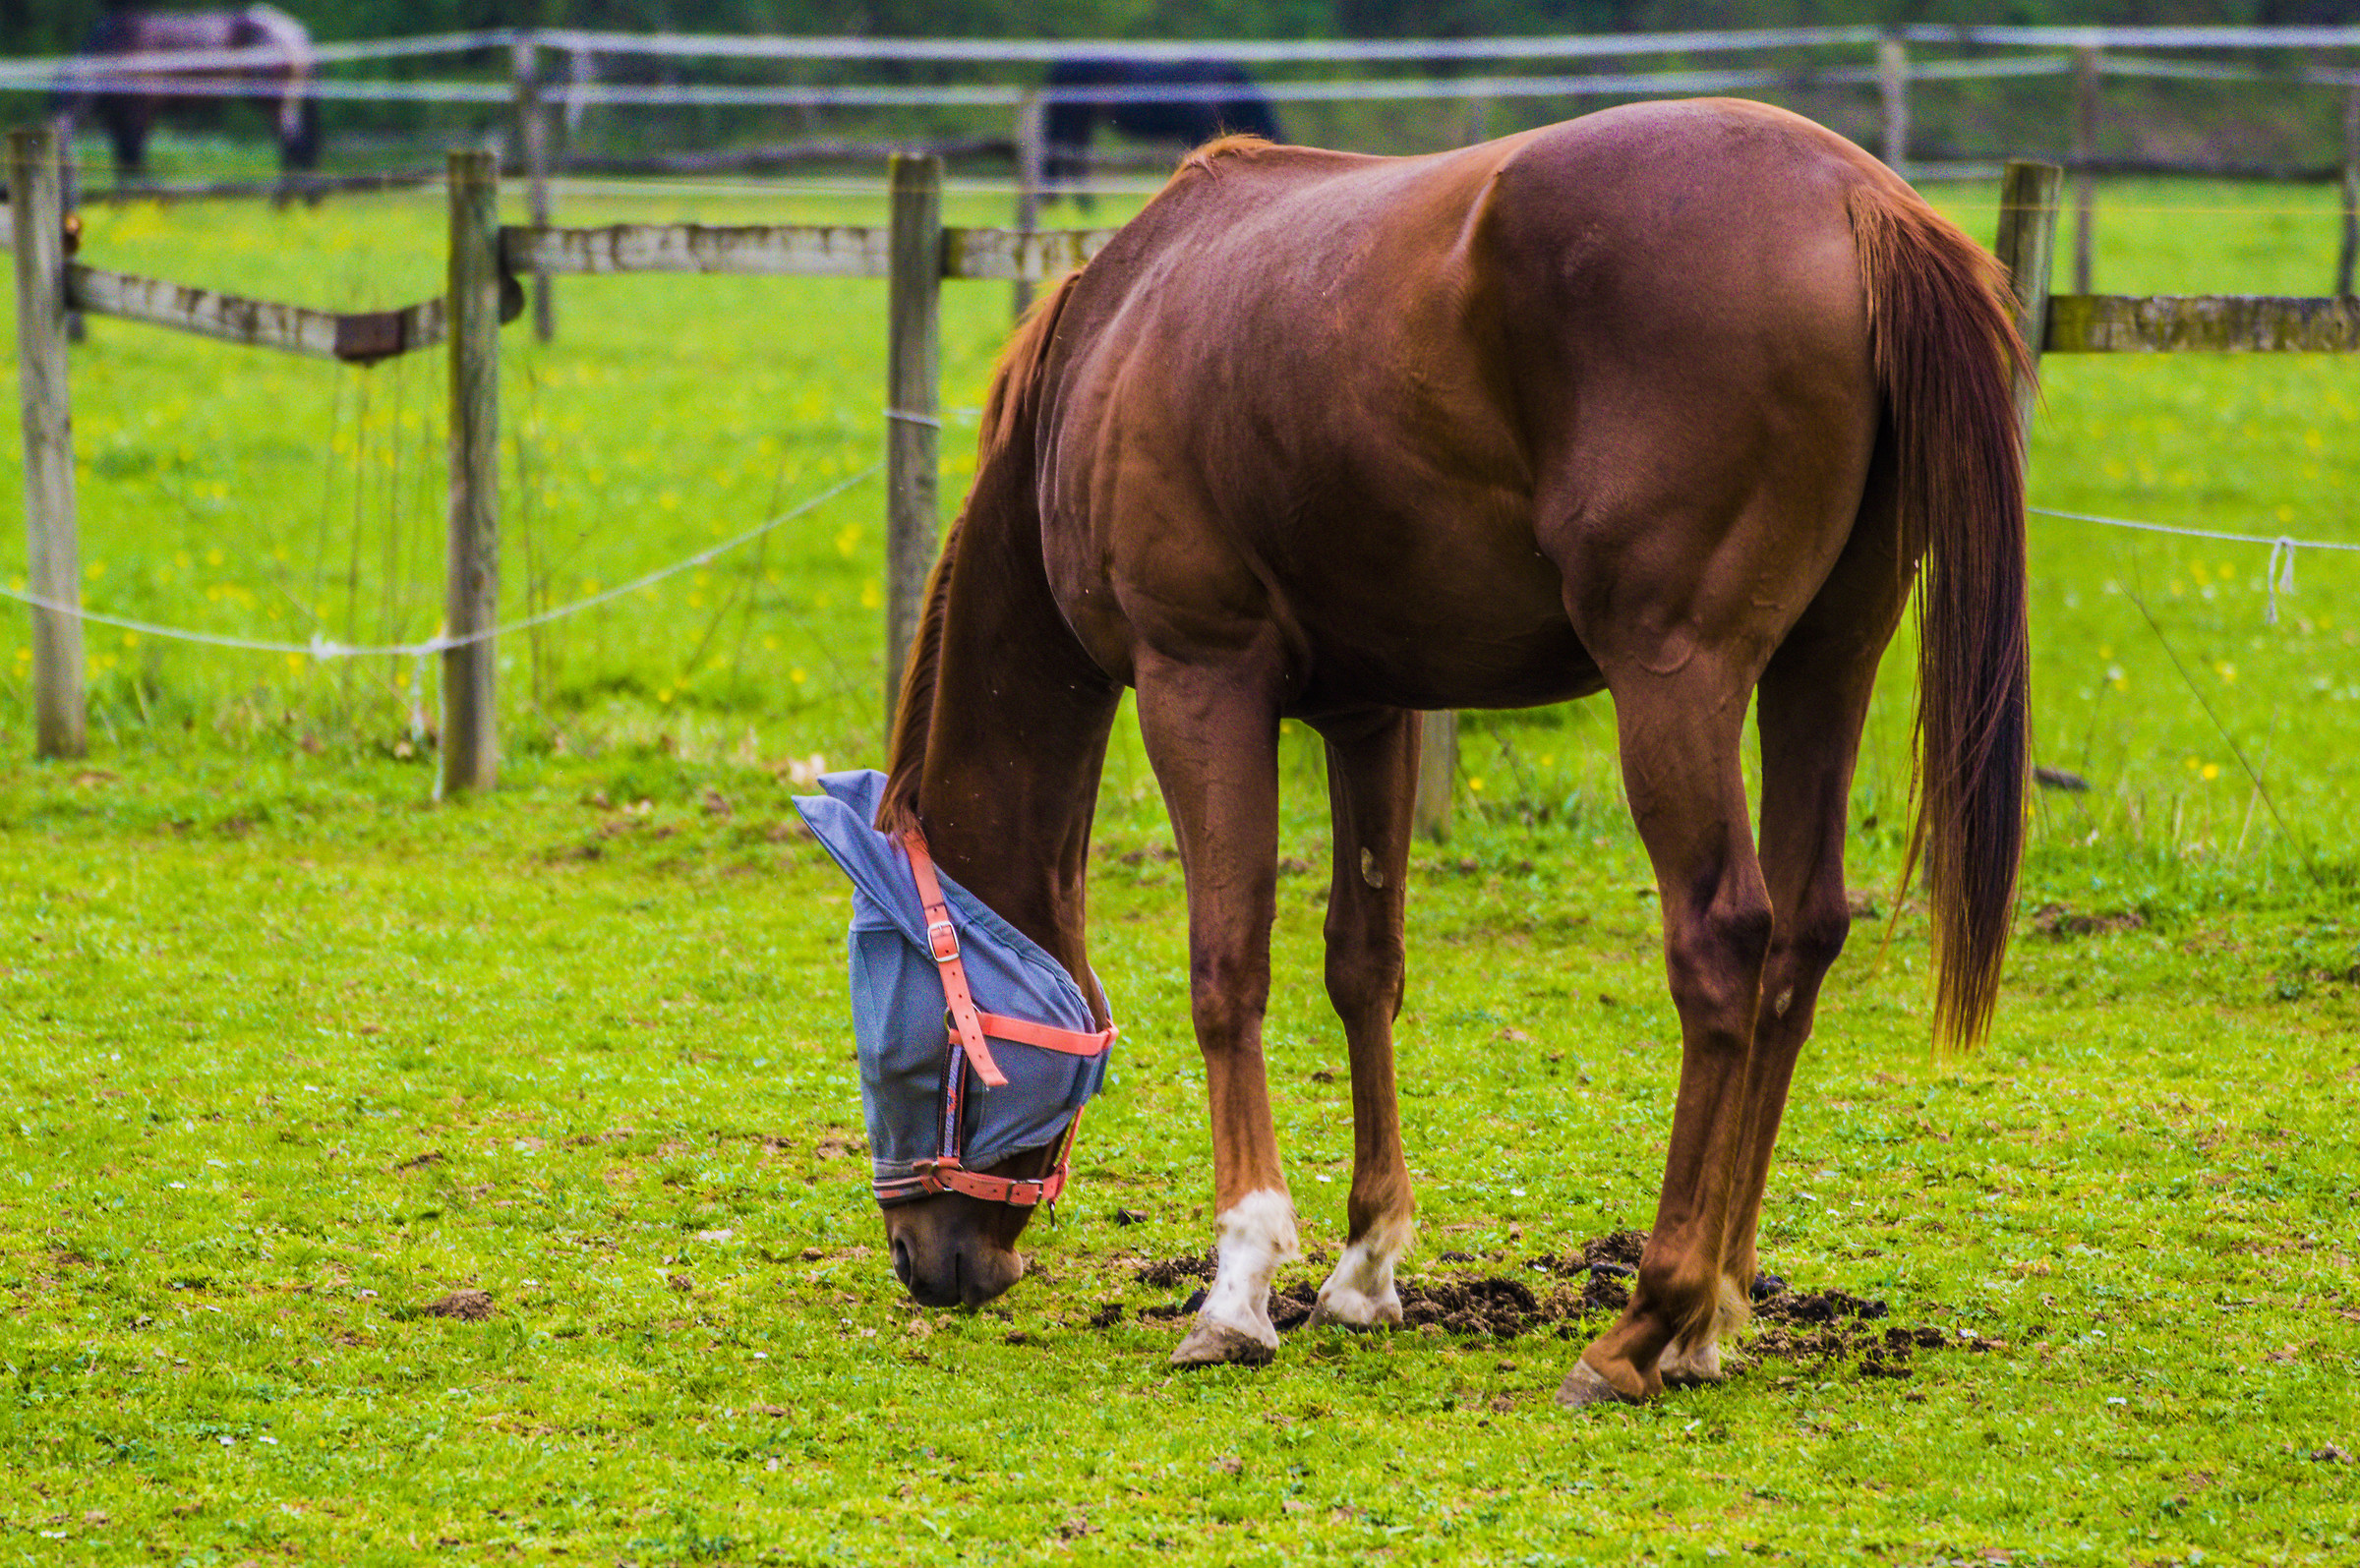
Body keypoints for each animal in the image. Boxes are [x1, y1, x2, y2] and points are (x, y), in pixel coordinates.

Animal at [51, 6, 321, 179]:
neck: (118, 46)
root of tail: (295, 32)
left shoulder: (139, 114)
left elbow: (133, 158)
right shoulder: (116, 118)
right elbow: (123, 158)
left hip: (273, 102)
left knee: (291, 143)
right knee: (296, 144)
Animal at [851, 98, 2029, 1407]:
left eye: (885, 999)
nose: (922, 1256)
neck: (1116, 331)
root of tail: (1857, 196)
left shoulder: (1197, 679)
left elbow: (1226, 964)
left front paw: (1239, 1286)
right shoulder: (1372, 711)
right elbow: (1363, 965)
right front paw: (1364, 1268)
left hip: (1677, 676)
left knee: (1726, 937)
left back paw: (1643, 1321)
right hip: (1828, 663)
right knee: (1804, 936)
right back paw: (1713, 1313)